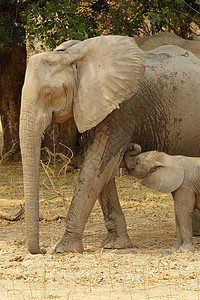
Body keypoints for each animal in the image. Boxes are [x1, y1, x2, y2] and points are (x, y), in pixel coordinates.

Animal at [19, 35, 200, 255]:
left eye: (47, 92)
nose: (43, 250)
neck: (73, 57)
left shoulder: (122, 111)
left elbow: (96, 168)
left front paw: (65, 249)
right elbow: (103, 171)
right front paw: (116, 245)